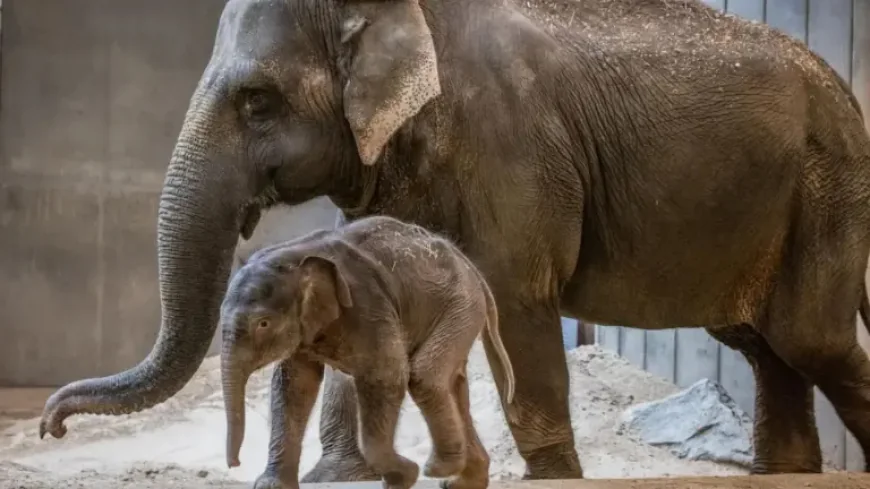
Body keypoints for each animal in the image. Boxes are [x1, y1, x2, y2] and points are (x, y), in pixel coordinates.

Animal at [219, 215, 516, 489]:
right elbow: (294, 386)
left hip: (461, 305)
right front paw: (270, 486)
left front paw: (405, 476)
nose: (234, 463)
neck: (295, 252)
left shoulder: (367, 305)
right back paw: (460, 482)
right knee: (453, 384)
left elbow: (386, 375)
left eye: (263, 324)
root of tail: (469, 265)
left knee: (425, 377)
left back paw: (438, 469)